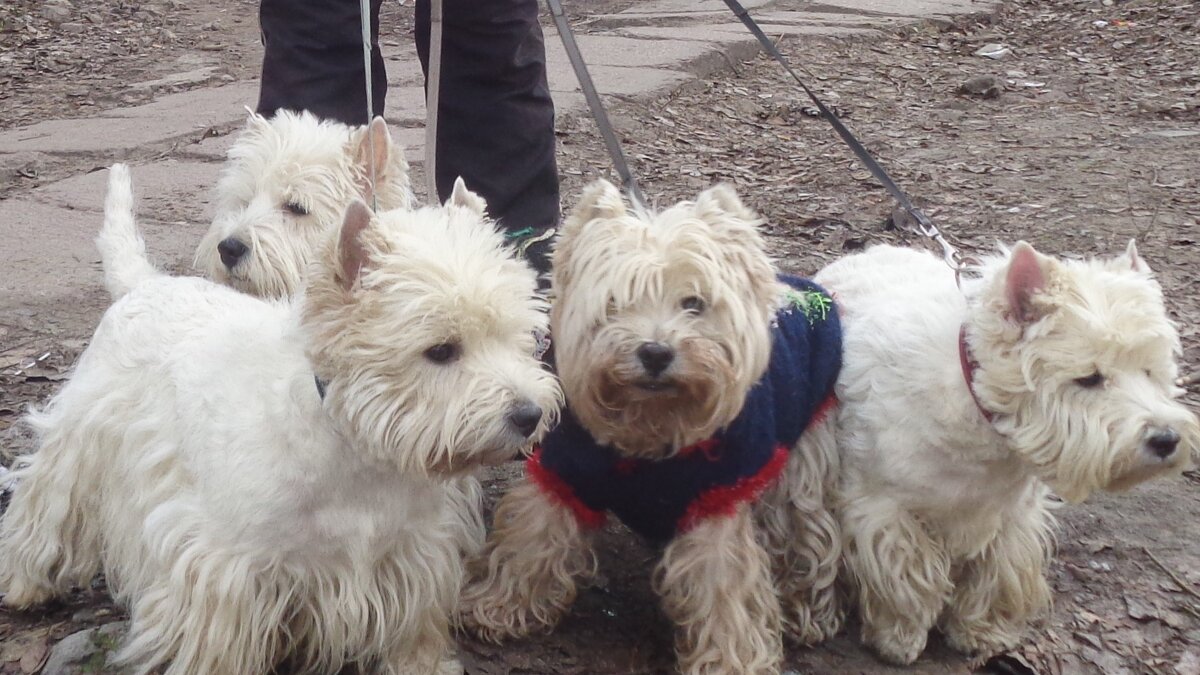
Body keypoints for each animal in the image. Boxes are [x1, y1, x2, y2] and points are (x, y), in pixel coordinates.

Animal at [0, 164, 559, 672]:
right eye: (440, 350)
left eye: (521, 338)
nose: (529, 415)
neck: (355, 453)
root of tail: (144, 284)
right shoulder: (225, 567)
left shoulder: (415, 553)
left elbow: (414, 628)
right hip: (79, 442)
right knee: (44, 507)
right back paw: (24, 585)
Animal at [458, 180, 844, 672]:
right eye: (616, 302)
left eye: (694, 304)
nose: (655, 352)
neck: (649, 426)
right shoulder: (566, 475)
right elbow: (532, 538)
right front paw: (498, 606)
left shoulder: (714, 502)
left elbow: (724, 594)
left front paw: (730, 662)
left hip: (800, 463)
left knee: (804, 535)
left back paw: (804, 612)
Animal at [811, 240, 1195, 662]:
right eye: (1089, 378)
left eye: (1149, 370)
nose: (1166, 439)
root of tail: (864, 251)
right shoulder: (883, 506)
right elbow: (906, 577)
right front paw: (898, 637)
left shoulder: (1012, 515)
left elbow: (997, 573)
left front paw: (980, 633)